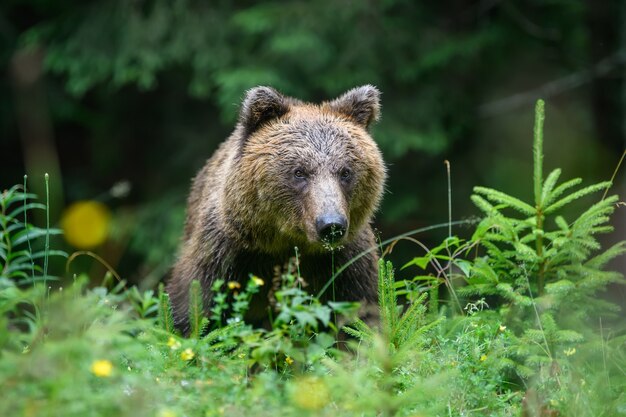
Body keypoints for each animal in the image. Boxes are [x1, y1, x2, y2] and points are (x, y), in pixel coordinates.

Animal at [168, 85, 388, 332]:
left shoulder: (346, 263)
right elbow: (195, 308)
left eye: (345, 172)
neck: (284, 243)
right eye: (299, 172)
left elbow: (360, 315)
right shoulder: (225, 253)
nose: (331, 225)